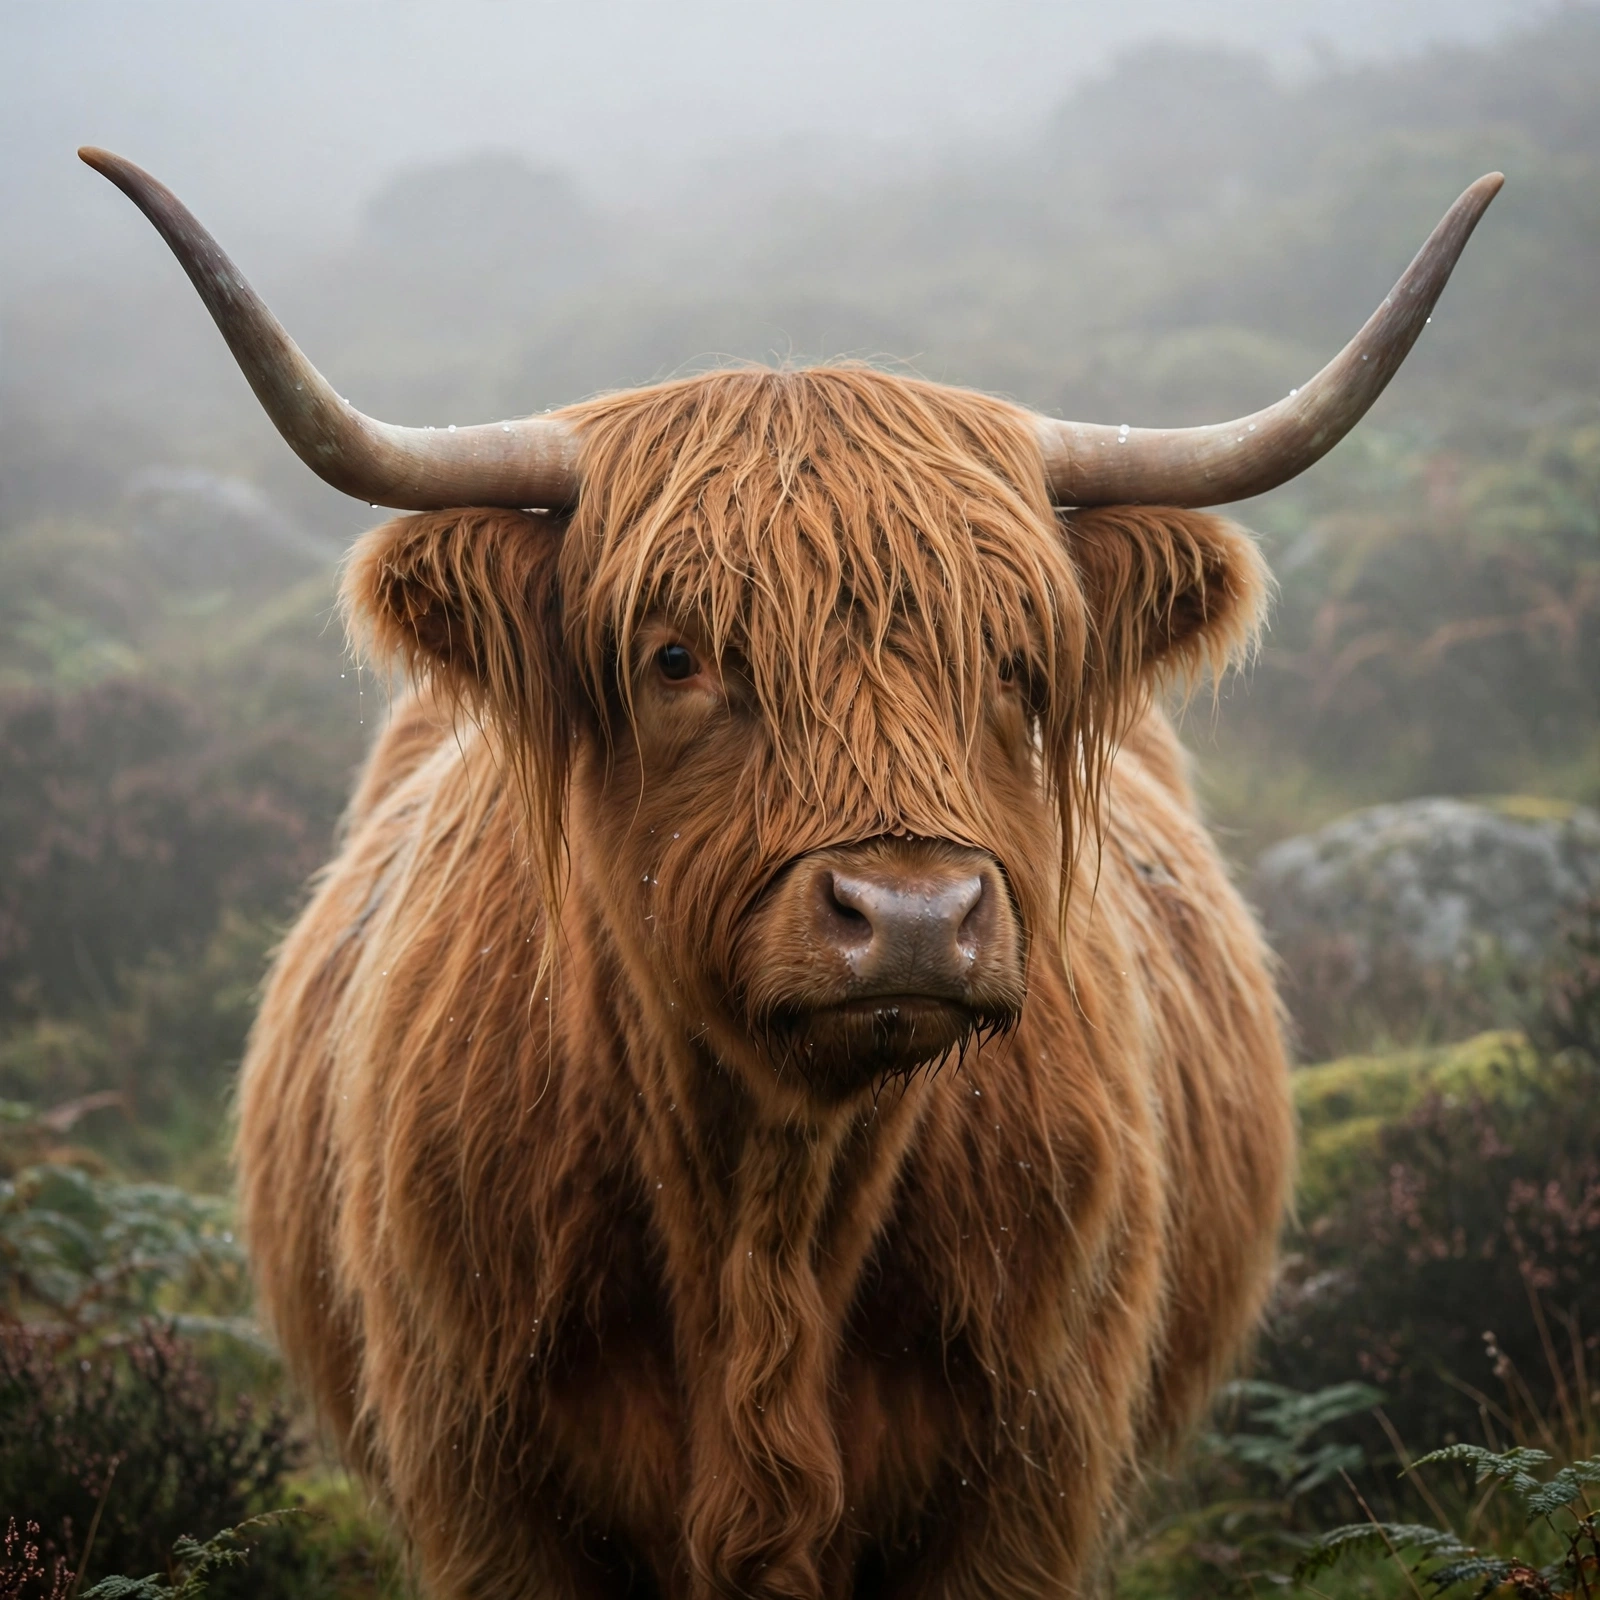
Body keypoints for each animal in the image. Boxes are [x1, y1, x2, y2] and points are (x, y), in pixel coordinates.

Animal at [82, 148, 1500, 1600]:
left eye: (1013, 661)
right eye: (675, 656)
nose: (915, 917)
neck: (772, 1205)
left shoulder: (1027, 1480)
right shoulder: (484, 1484)